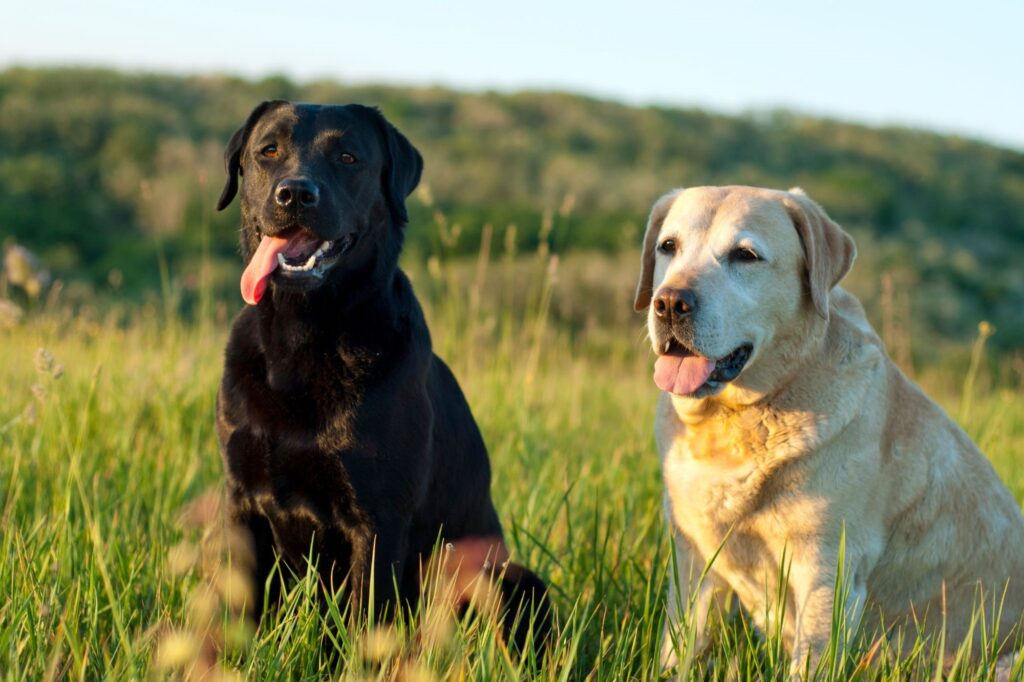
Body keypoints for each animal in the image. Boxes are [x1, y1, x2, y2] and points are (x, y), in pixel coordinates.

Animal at [214, 100, 552, 647]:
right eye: (268, 150)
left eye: (348, 157)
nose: (295, 193)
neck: (302, 340)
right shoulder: (243, 503)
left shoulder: (376, 521)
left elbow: (362, 627)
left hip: (514, 578)